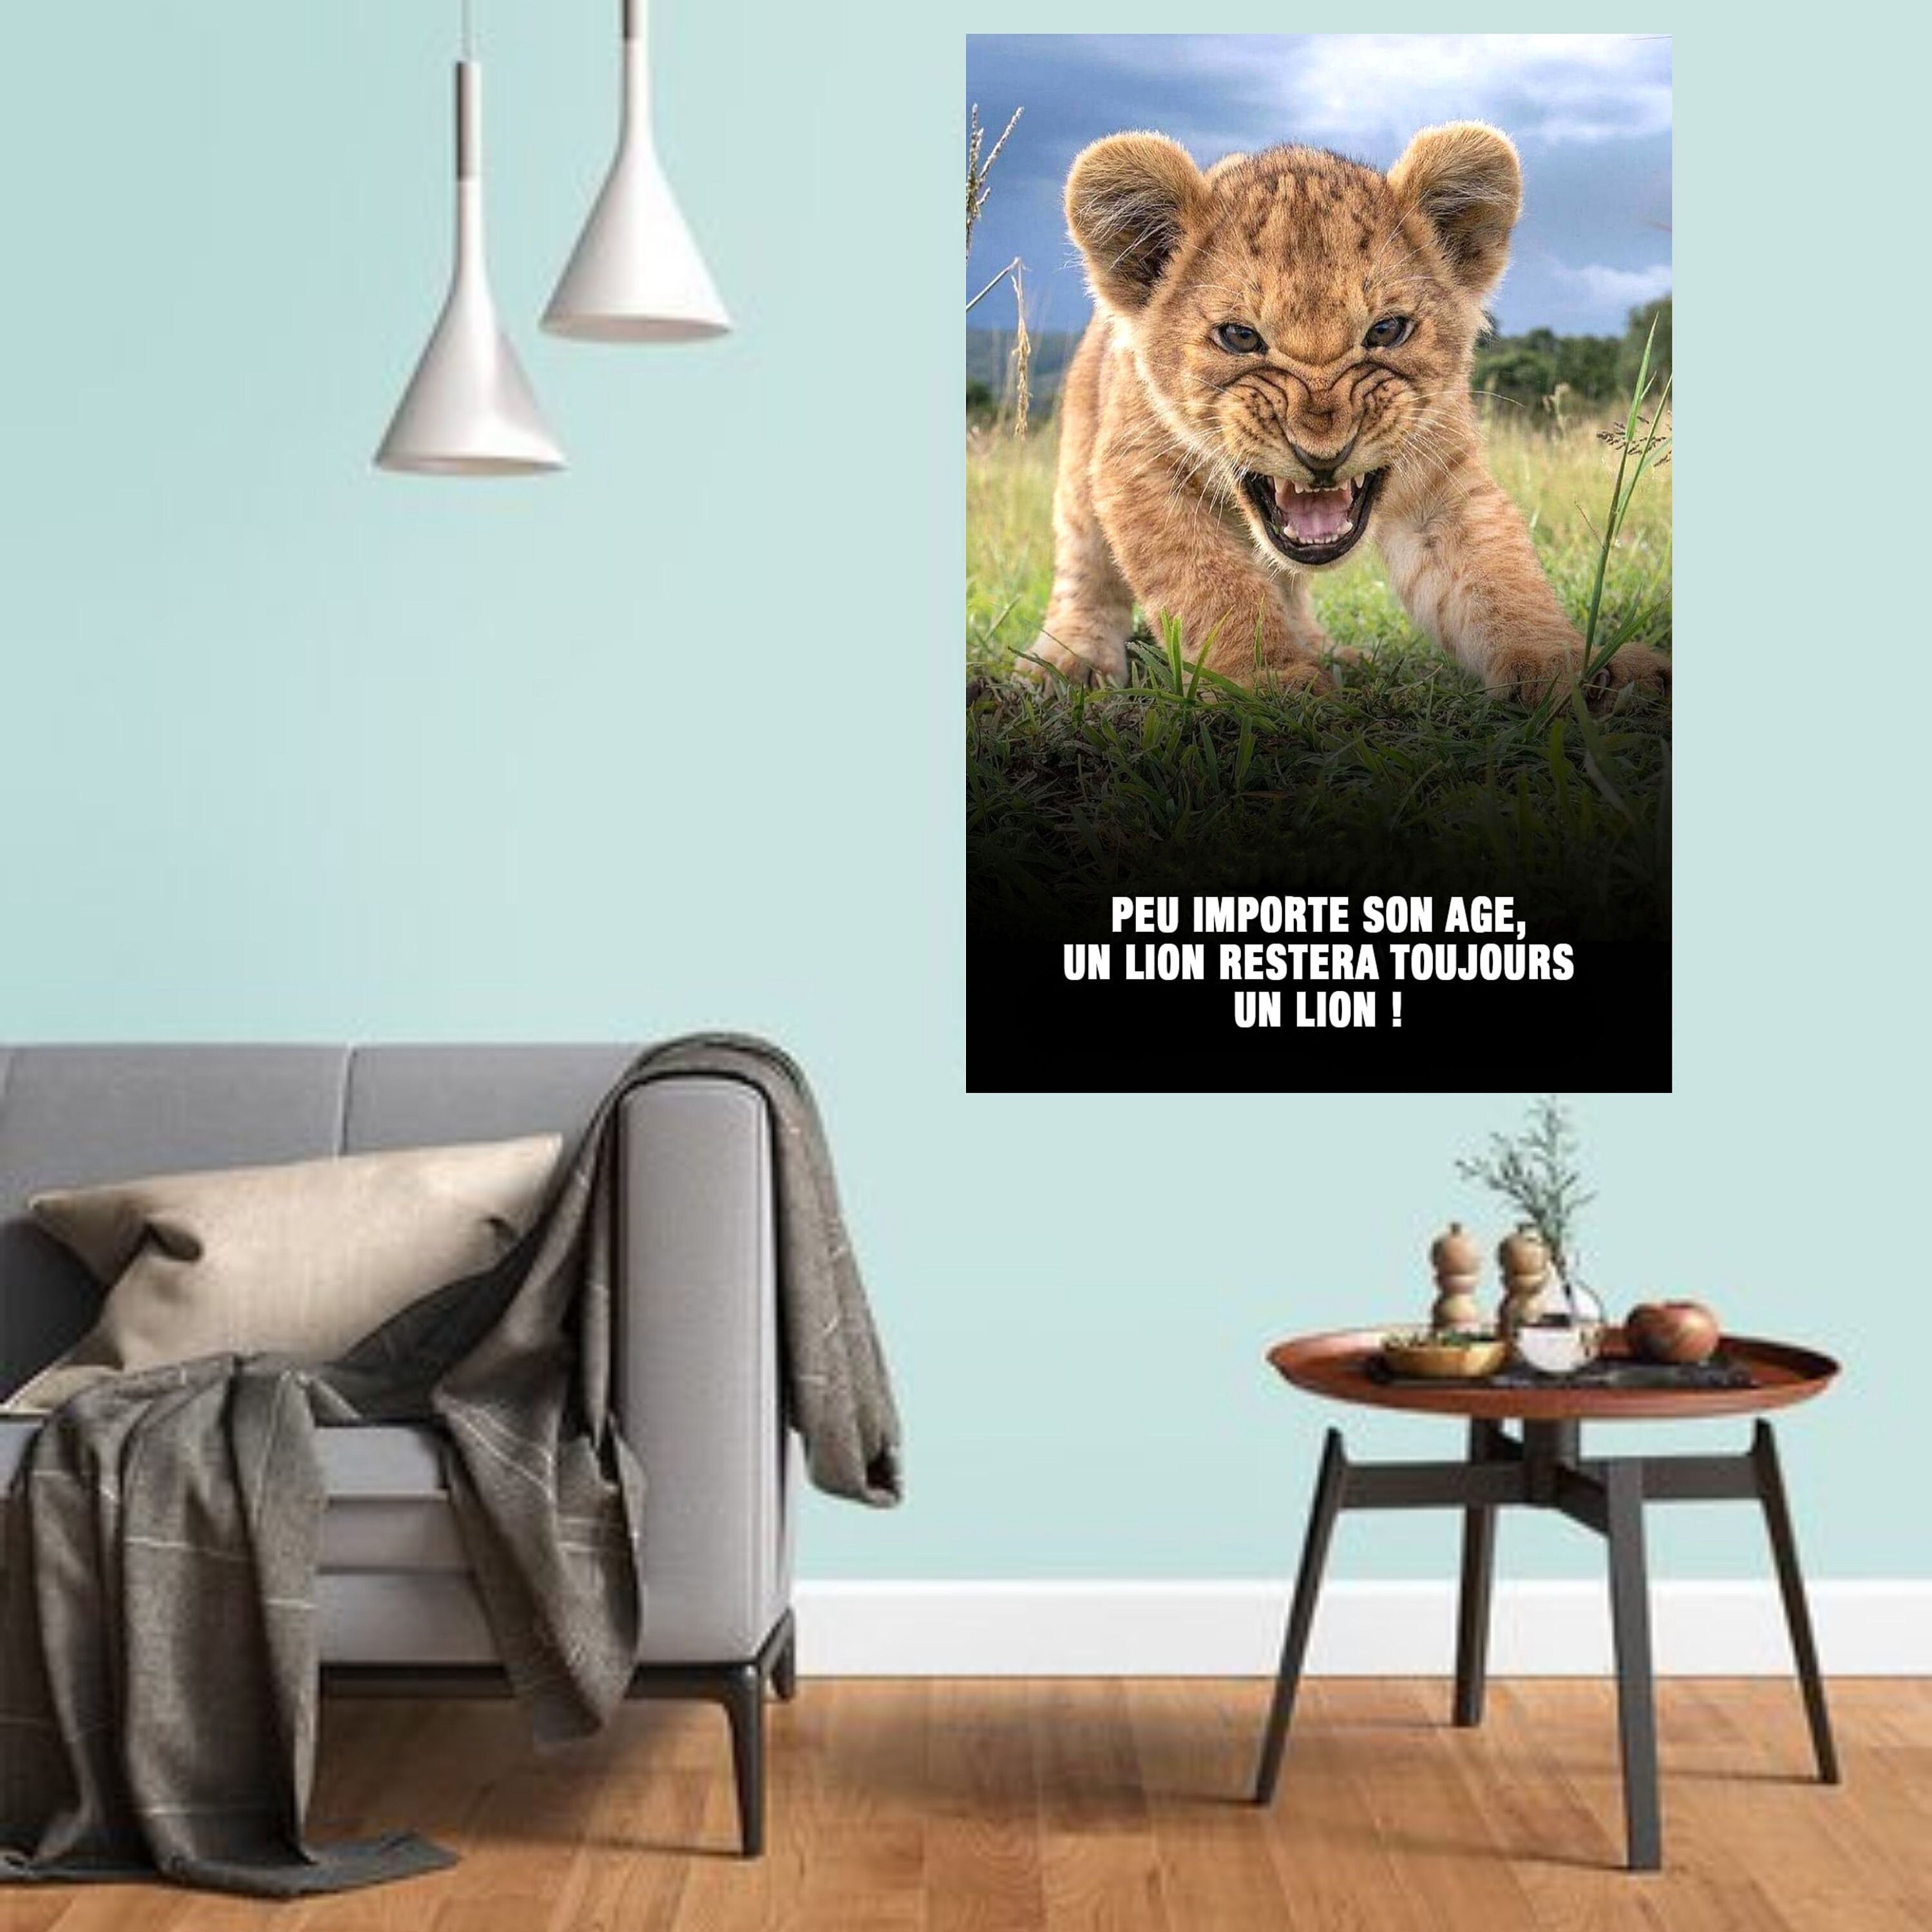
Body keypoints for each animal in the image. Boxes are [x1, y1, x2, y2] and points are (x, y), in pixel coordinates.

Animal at [1021, 123, 1668, 703]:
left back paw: (1325, 649)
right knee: (1085, 567)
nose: (1322, 453)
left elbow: (1499, 577)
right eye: (1240, 337)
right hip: (1081, 464)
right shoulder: (1141, 473)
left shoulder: (1443, 486)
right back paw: (1069, 661)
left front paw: (1578, 667)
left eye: (1386, 331)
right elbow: (1211, 586)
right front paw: (1267, 681)